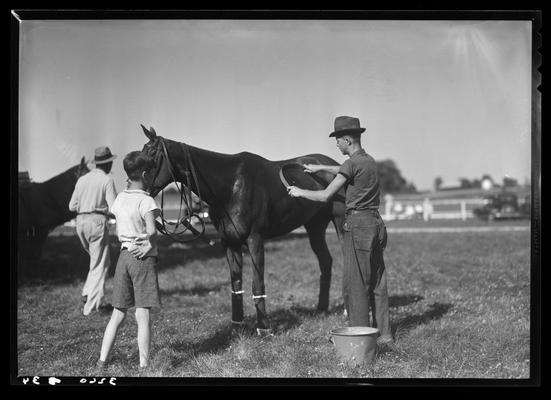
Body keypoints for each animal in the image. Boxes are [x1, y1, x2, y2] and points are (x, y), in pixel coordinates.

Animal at [139, 125, 344, 334]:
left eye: (152, 156)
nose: (140, 190)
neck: (231, 186)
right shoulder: (230, 242)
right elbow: (236, 283)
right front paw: (237, 326)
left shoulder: (255, 240)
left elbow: (257, 283)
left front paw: (263, 328)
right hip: (315, 226)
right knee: (325, 261)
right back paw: (321, 309)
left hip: (340, 222)